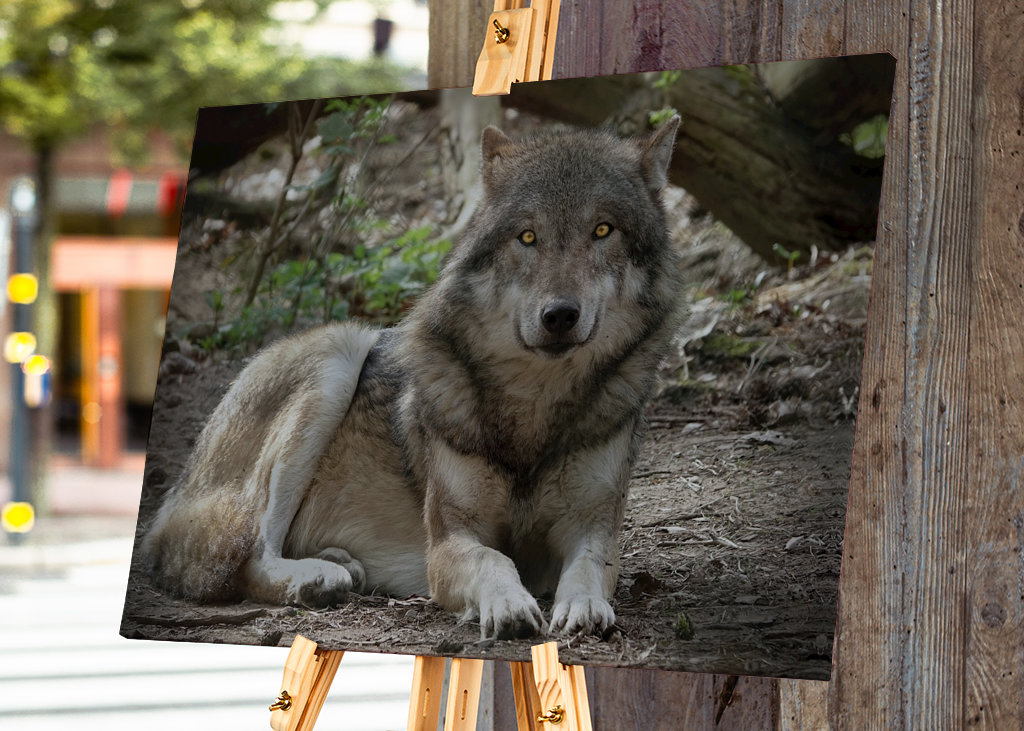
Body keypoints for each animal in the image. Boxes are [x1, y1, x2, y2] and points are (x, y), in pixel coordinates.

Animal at [141, 115, 683, 640]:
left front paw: (586, 607)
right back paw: (317, 579)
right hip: (338, 352)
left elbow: (591, 566)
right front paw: (507, 604)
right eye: (527, 237)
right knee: (245, 560)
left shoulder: (593, 527)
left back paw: (338, 563)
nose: (559, 316)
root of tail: (175, 495)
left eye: (603, 230)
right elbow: (493, 558)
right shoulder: (447, 543)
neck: (535, 401)